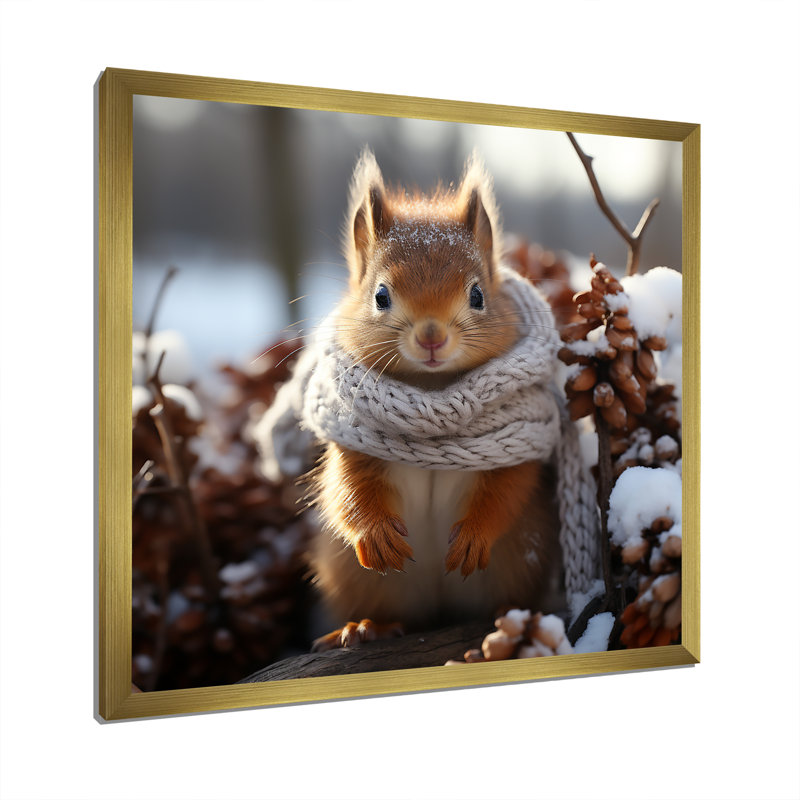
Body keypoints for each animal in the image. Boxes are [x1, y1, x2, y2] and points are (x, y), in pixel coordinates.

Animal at [307, 150, 559, 651]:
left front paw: (475, 537)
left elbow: (508, 490)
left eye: (478, 294)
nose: (431, 336)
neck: (431, 390)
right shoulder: (354, 444)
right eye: (380, 295)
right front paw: (376, 535)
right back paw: (365, 627)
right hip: (362, 580)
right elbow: (348, 490)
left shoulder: (515, 445)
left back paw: (510, 619)